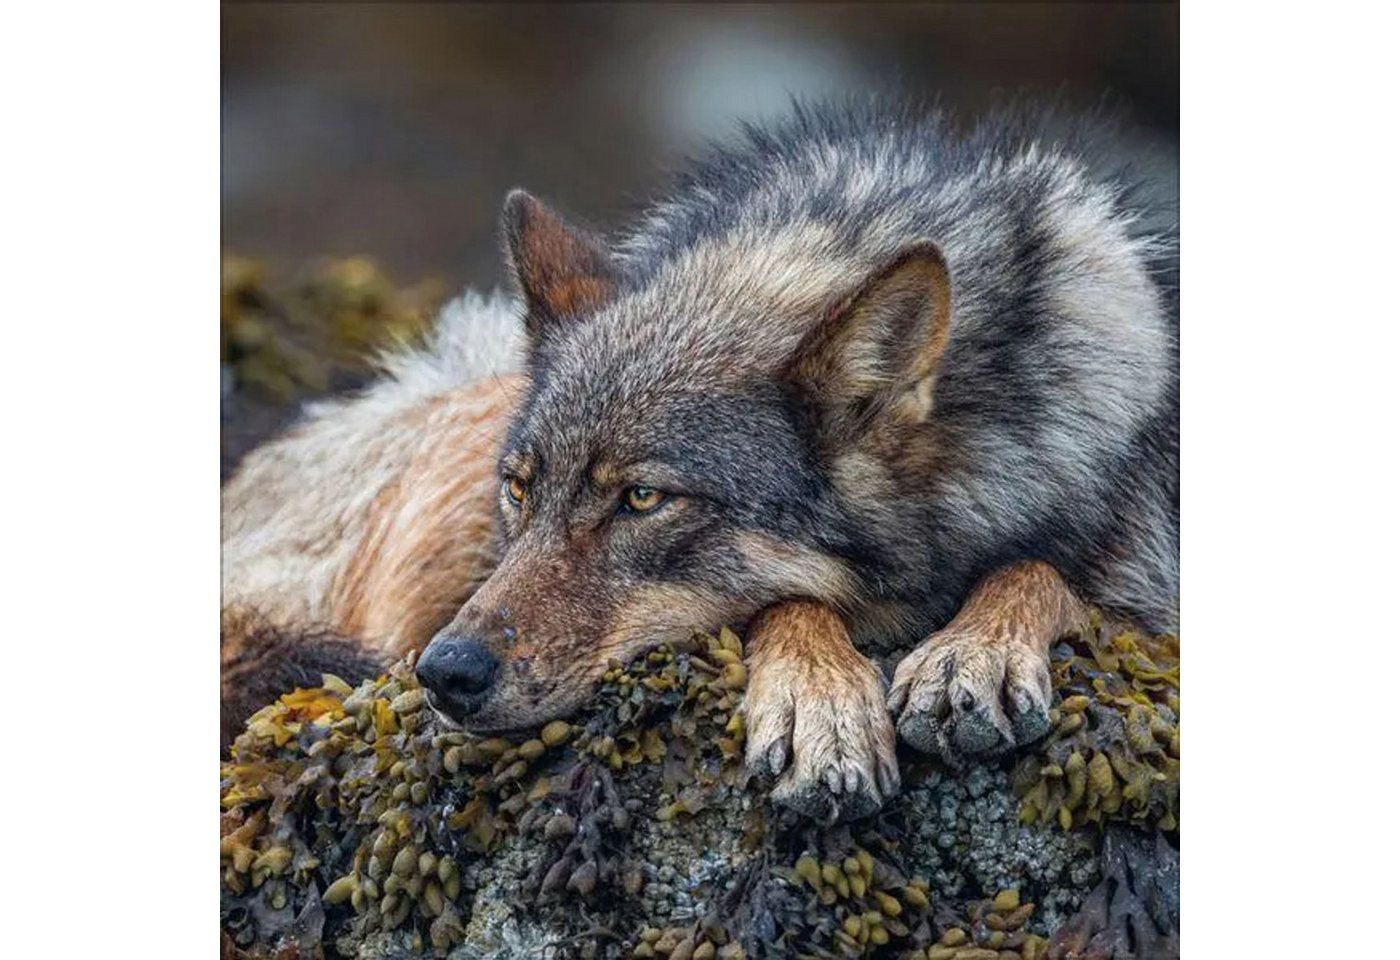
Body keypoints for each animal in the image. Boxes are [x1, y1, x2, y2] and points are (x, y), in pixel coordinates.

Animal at [223, 101, 1178, 822]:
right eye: (520, 491)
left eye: (643, 499)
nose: (445, 673)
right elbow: (787, 601)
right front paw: (820, 706)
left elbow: (1039, 572)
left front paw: (971, 651)